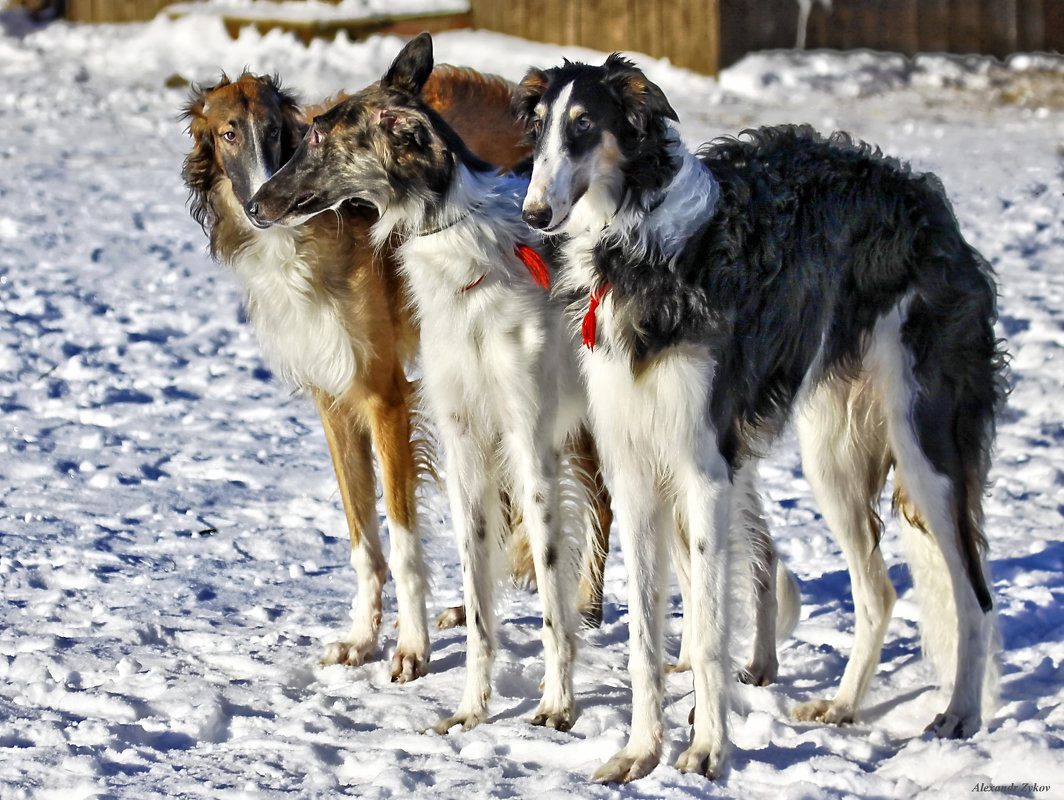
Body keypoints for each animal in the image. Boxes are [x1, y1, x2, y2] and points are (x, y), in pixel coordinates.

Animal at [514, 54, 1004, 782]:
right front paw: (640, 752)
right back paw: (843, 705)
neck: (643, 250)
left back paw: (961, 714)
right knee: (879, 593)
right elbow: (644, 640)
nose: (536, 212)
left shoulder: (706, 470)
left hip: (927, 448)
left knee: (973, 592)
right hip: (833, 458)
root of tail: (932, 207)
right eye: (541, 125)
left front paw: (707, 749)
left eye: (584, 125)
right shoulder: (635, 472)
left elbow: (710, 632)